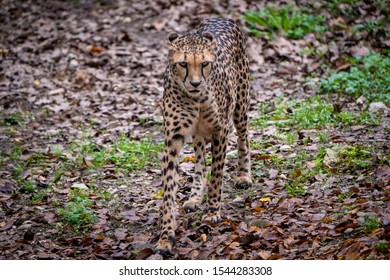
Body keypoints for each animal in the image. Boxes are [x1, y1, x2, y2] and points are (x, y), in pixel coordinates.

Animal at [156, 17, 251, 254]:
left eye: (204, 64)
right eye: (183, 64)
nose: (195, 83)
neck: (195, 98)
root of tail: (221, 18)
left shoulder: (220, 131)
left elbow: (217, 175)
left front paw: (212, 211)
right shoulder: (173, 139)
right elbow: (169, 190)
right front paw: (166, 236)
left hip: (240, 108)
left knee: (244, 137)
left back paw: (244, 176)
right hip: (198, 134)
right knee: (200, 160)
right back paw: (194, 197)